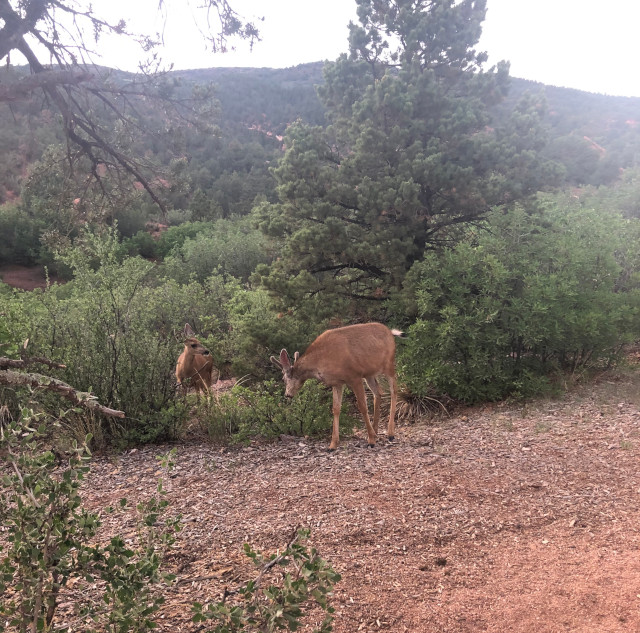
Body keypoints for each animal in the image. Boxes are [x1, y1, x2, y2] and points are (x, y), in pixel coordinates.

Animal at [272, 320, 404, 450]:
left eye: (283, 378)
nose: (287, 394)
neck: (321, 360)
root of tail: (390, 332)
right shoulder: (337, 383)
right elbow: (336, 409)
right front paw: (333, 444)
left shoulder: (355, 376)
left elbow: (362, 407)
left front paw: (371, 440)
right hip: (369, 374)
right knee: (378, 392)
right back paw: (376, 431)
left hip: (389, 365)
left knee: (394, 391)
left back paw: (390, 434)